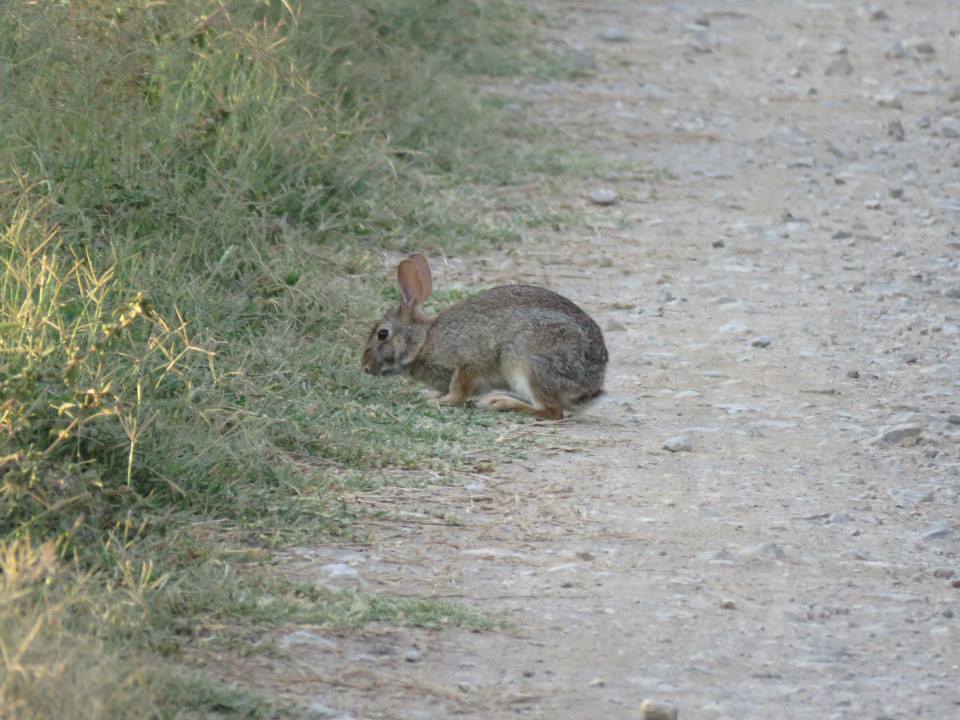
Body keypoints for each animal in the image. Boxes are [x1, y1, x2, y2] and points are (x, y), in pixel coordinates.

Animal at [360, 255, 608, 420]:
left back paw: (499, 403)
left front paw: (438, 401)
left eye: (382, 334)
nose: (365, 367)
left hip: (530, 365)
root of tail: (590, 386)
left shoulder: (467, 363)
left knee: (552, 411)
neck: (423, 342)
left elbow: (459, 390)